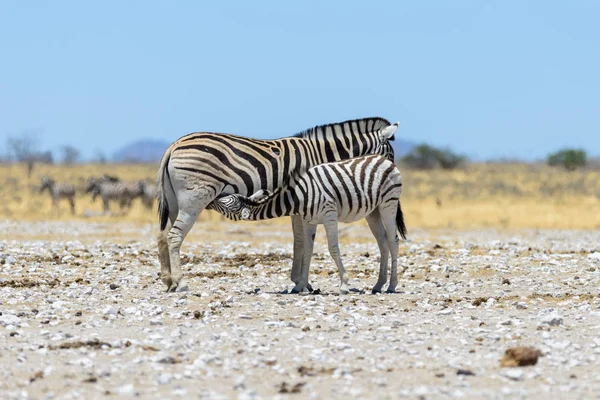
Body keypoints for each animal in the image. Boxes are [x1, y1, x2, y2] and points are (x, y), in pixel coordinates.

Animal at [210, 154, 408, 294]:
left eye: (228, 201)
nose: (213, 197)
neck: (299, 197)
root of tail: (384, 159)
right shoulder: (308, 221)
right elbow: (307, 249)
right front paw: (301, 286)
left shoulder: (329, 215)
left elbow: (333, 249)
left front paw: (344, 285)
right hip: (372, 212)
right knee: (382, 242)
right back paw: (378, 285)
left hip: (388, 203)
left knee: (393, 241)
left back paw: (391, 286)